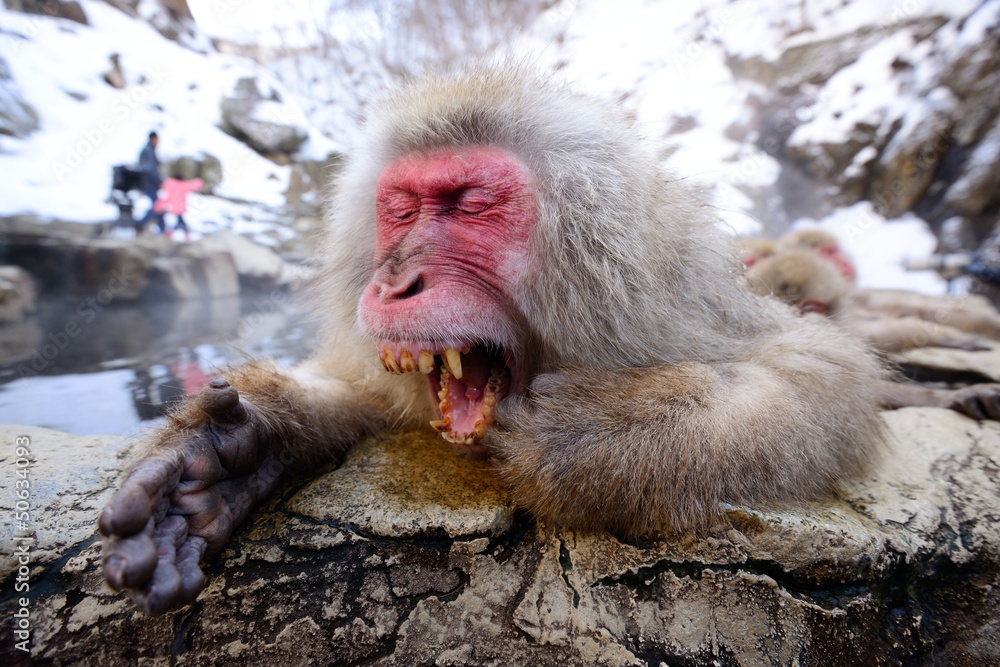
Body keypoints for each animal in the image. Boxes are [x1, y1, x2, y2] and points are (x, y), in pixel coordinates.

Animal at [97, 68, 888, 616]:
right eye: (402, 207)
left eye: (471, 205)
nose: (395, 281)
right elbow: (364, 393)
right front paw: (226, 457)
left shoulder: (688, 307)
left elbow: (825, 371)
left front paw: (599, 436)